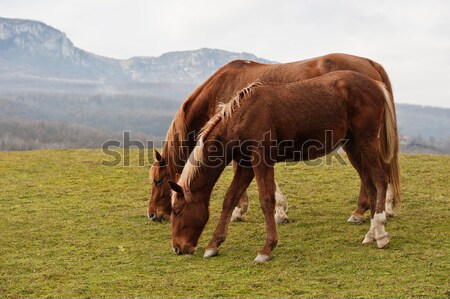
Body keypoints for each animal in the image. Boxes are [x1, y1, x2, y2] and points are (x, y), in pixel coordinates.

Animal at [149, 52, 400, 224]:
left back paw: (373, 210)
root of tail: (368, 63)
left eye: (158, 181)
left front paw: (246, 211)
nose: (153, 214)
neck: (220, 89)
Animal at [167, 70, 400, 262]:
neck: (243, 115)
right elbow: (230, 199)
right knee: (370, 184)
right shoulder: (245, 165)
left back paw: (381, 233)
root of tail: (375, 84)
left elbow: (266, 200)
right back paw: (371, 233)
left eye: (177, 211)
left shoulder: (261, 161)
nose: (178, 248)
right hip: (352, 146)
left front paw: (266, 249)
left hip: (365, 142)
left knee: (381, 180)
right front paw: (213, 245)